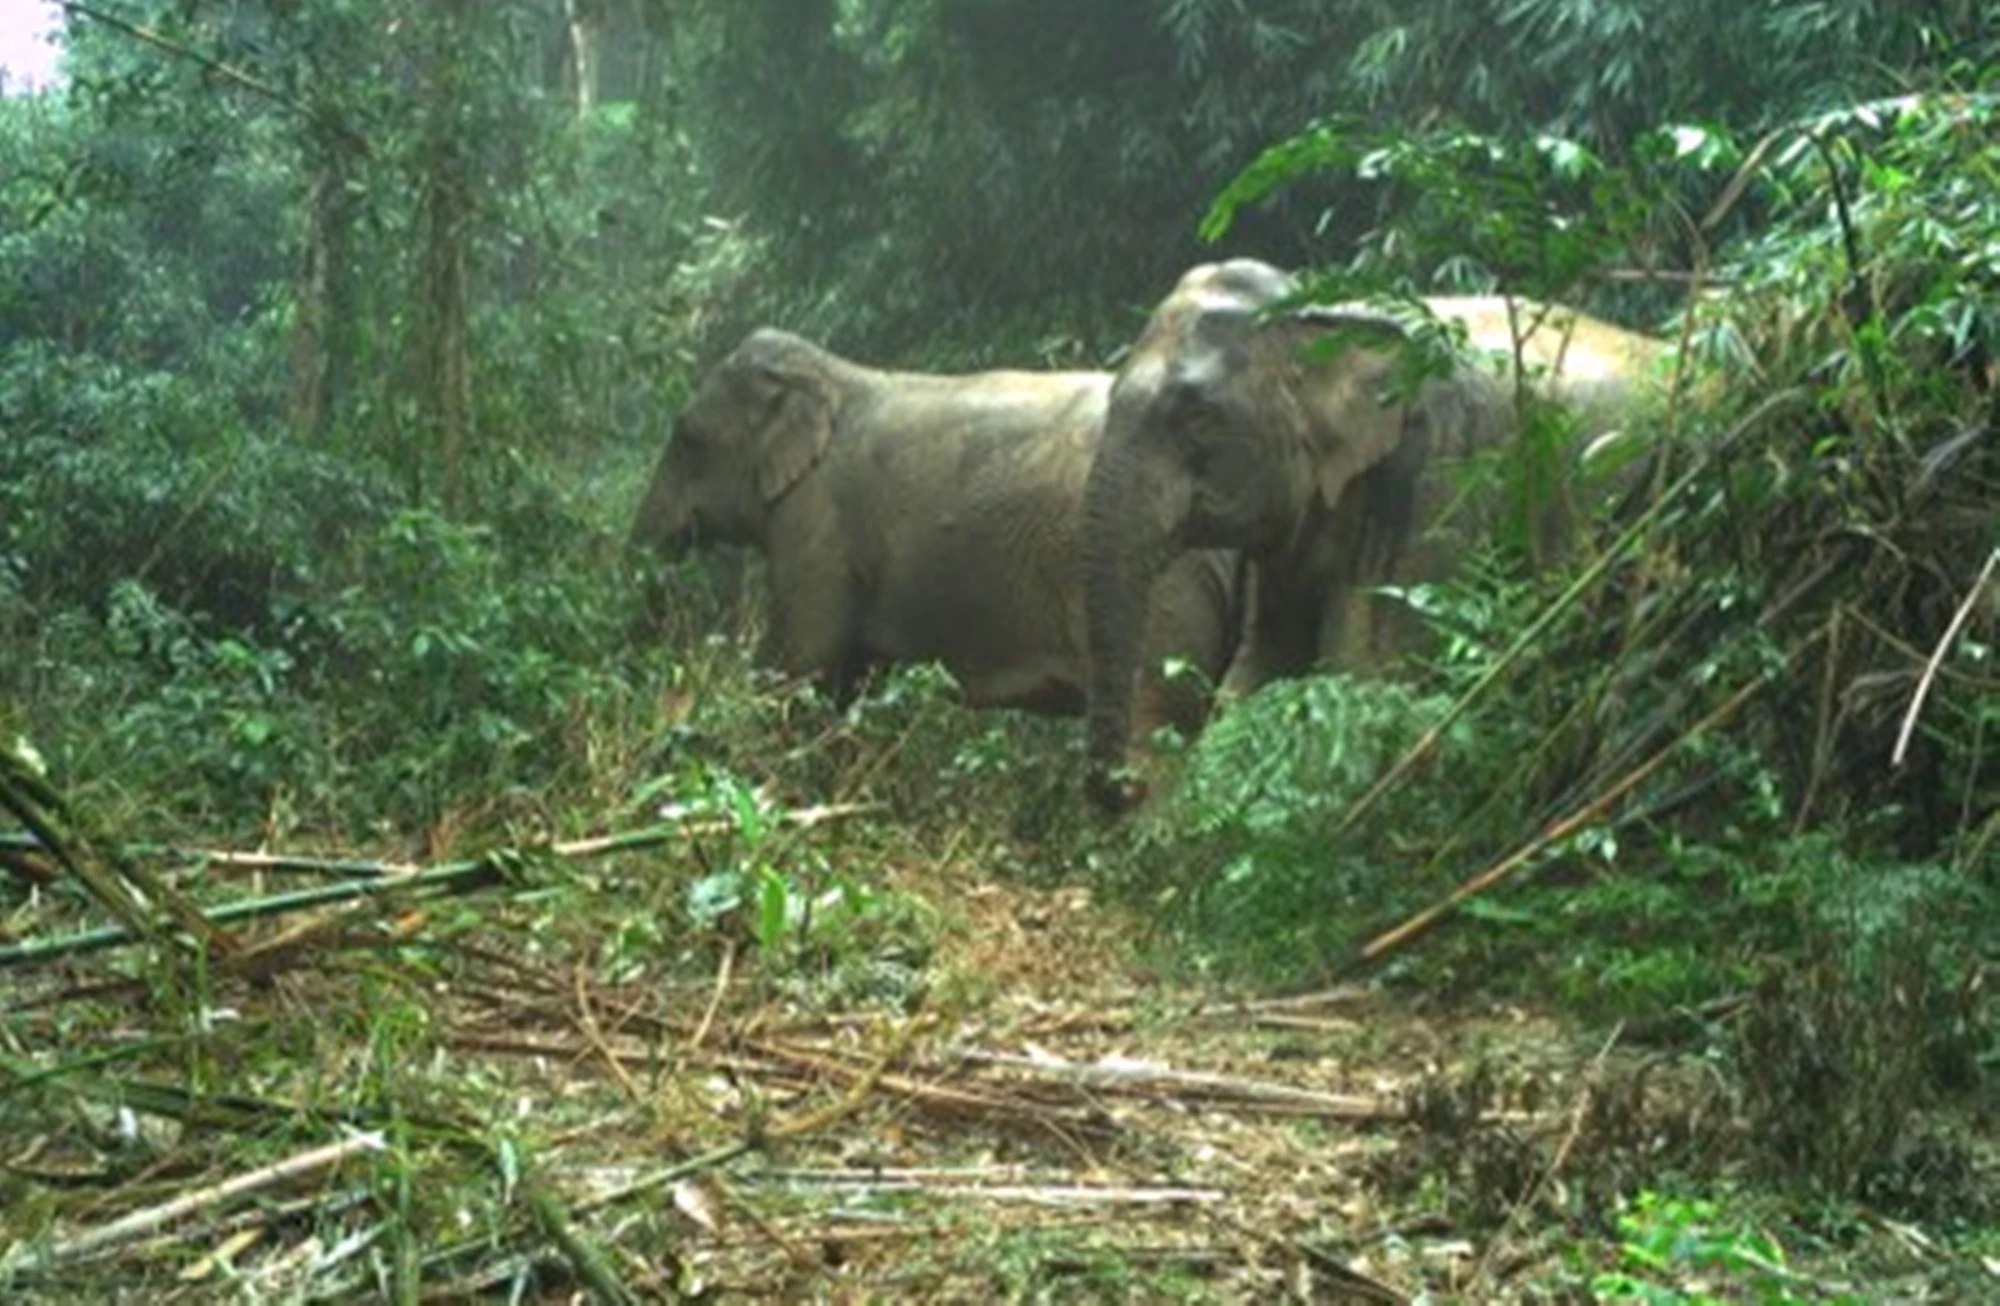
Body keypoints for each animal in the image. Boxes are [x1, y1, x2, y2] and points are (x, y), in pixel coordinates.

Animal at [624, 326, 1248, 744]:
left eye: (686, 437)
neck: (832, 373)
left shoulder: (820, 521)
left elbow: (802, 658)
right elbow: (851, 674)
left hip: (1158, 587)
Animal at [1080, 256, 1672, 808]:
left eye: (1198, 417)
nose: (1127, 788)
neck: (1332, 309)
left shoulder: (1439, 477)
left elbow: (1369, 672)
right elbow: (1259, 672)